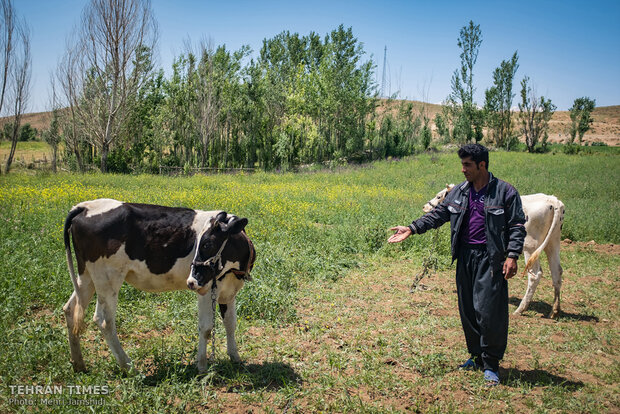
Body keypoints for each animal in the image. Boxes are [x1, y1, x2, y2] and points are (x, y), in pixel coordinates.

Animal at [62, 199, 254, 374]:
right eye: (198, 243)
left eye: (208, 244)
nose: (191, 281)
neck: (235, 270)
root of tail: (84, 206)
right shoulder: (207, 290)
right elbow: (206, 327)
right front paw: (202, 366)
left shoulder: (229, 292)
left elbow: (230, 323)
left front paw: (235, 357)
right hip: (108, 279)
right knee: (104, 321)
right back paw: (129, 367)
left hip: (86, 275)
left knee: (70, 309)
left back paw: (78, 364)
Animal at [424, 186, 564, 318]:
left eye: (438, 196)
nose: (425, 207)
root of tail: (552, 200)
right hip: (553, 241)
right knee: (556, 272)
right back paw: (554, 311)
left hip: (530, 246)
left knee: (535, 275)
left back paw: (520, 309)